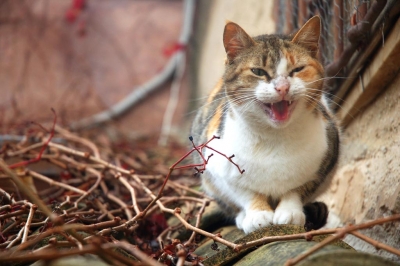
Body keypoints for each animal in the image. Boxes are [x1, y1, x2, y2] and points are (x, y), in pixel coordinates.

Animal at [192, 15, 340, 234]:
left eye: (298, 69)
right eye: (258, 71)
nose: (282, 87)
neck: (274, 138)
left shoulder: (325, 158)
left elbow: (297, 188)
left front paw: (289, 210)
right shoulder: (218, 169)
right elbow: (245, 192)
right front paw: (257, 214)